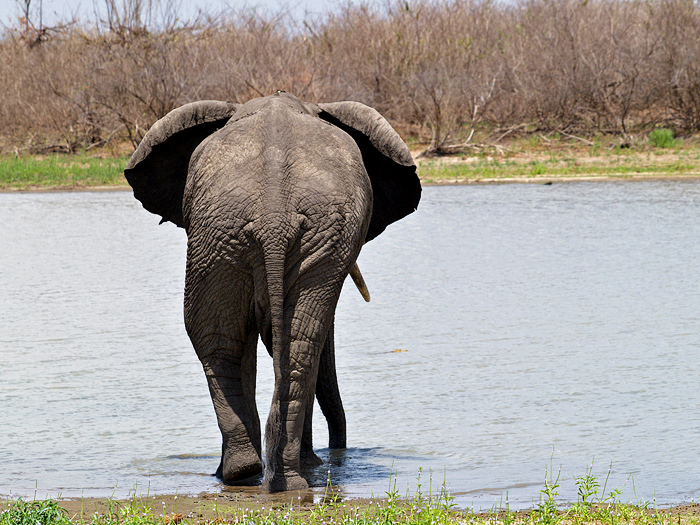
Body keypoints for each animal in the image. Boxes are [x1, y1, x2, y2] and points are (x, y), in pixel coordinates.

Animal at [124, 91, 422, 492]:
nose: (340, 454)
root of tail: (274, 216)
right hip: (225, 234)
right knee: (263, 344)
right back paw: (268, 475)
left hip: (234, 235)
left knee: (243, 344)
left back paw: (260, 476)